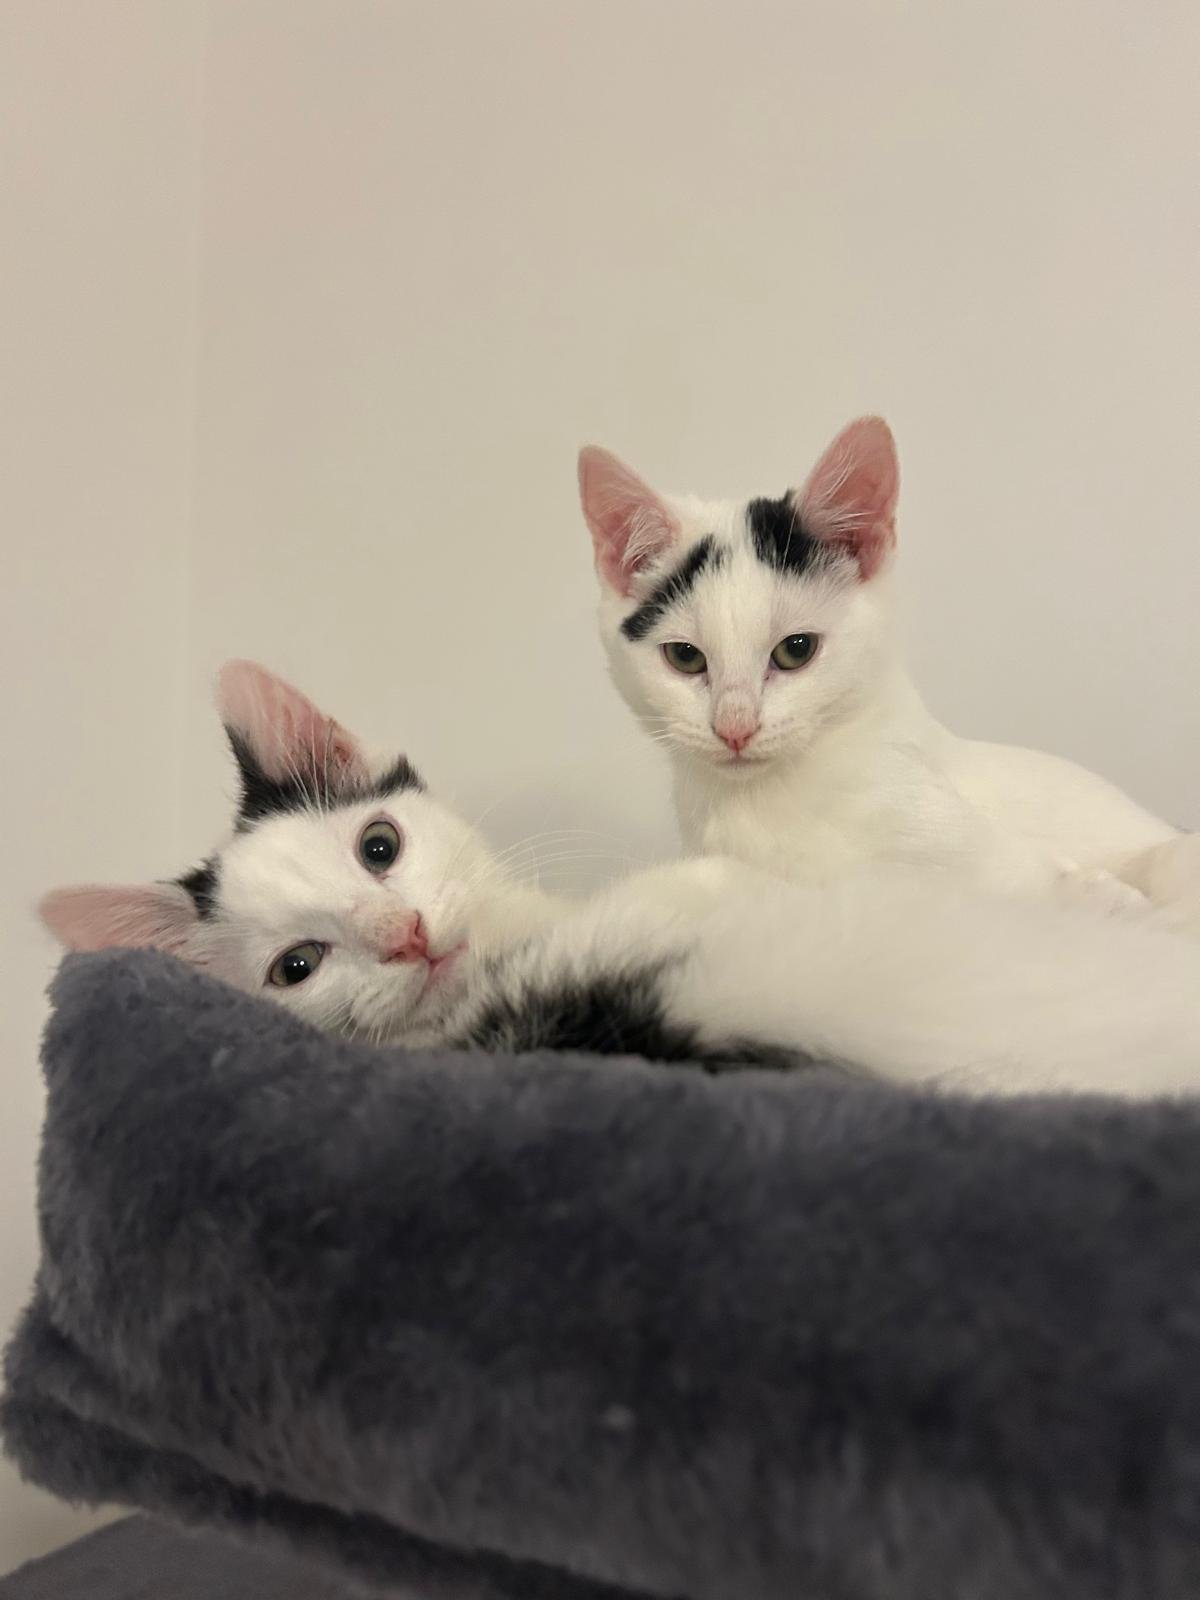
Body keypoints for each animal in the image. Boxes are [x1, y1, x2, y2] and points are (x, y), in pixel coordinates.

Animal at [578, 417, 1198, 925]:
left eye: (795, 649)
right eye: (685, 657)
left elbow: (1059, 887)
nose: (735, 728)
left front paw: (1109, 897)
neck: (767, 802)